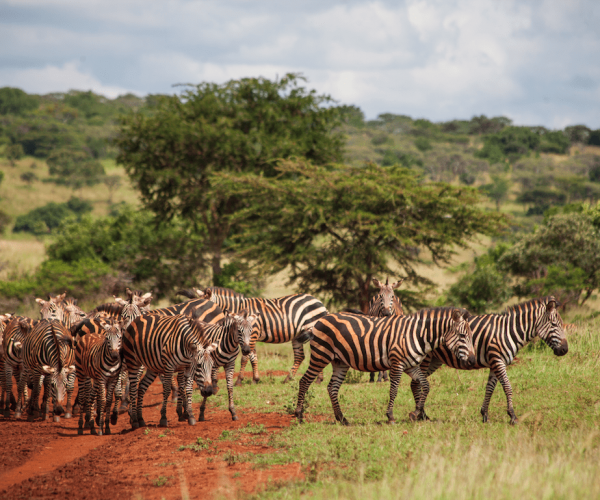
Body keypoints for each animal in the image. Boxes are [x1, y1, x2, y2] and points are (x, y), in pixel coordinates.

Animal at [294, 308, 474, 426]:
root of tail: (320, 319)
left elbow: (426, 385)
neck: (417, 334)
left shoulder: (411, 366)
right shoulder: (397, 363)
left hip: (340, 362)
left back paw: (342, 419)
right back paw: (299, 416)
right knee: (304, 381)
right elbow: (393, 390)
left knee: (332, 388)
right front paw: (390, 416)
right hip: (321, 355)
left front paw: (415, 413)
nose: (472, 360)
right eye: (462, 335)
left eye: (471, 336)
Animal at [410, 296, 568, 426]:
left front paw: (485, 415)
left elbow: (490, 388)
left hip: (434, 360)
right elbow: (508, 387)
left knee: (415, 382)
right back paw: (420, 414)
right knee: (417, 383)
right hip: (424, 359)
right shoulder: (498, 360)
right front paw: (513, 416)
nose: (565, 350)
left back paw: (422, 414)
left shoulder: (495, 363)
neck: (508, 331)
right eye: (554, 324)